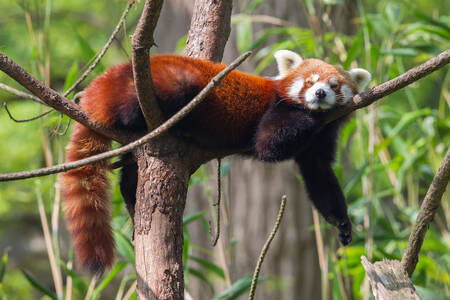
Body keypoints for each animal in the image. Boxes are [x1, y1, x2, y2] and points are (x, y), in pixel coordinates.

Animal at [61, 49, 370, 274]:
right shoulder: (277, 112)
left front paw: (341, 222)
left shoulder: (319, 145)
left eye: (334, 85)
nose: (319, 94)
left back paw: (131, 197)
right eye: (310, 81)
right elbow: (268, 146)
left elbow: (320, 176)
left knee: (131, 171)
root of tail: (111, 76)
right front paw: (310, 115)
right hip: (168, 82)